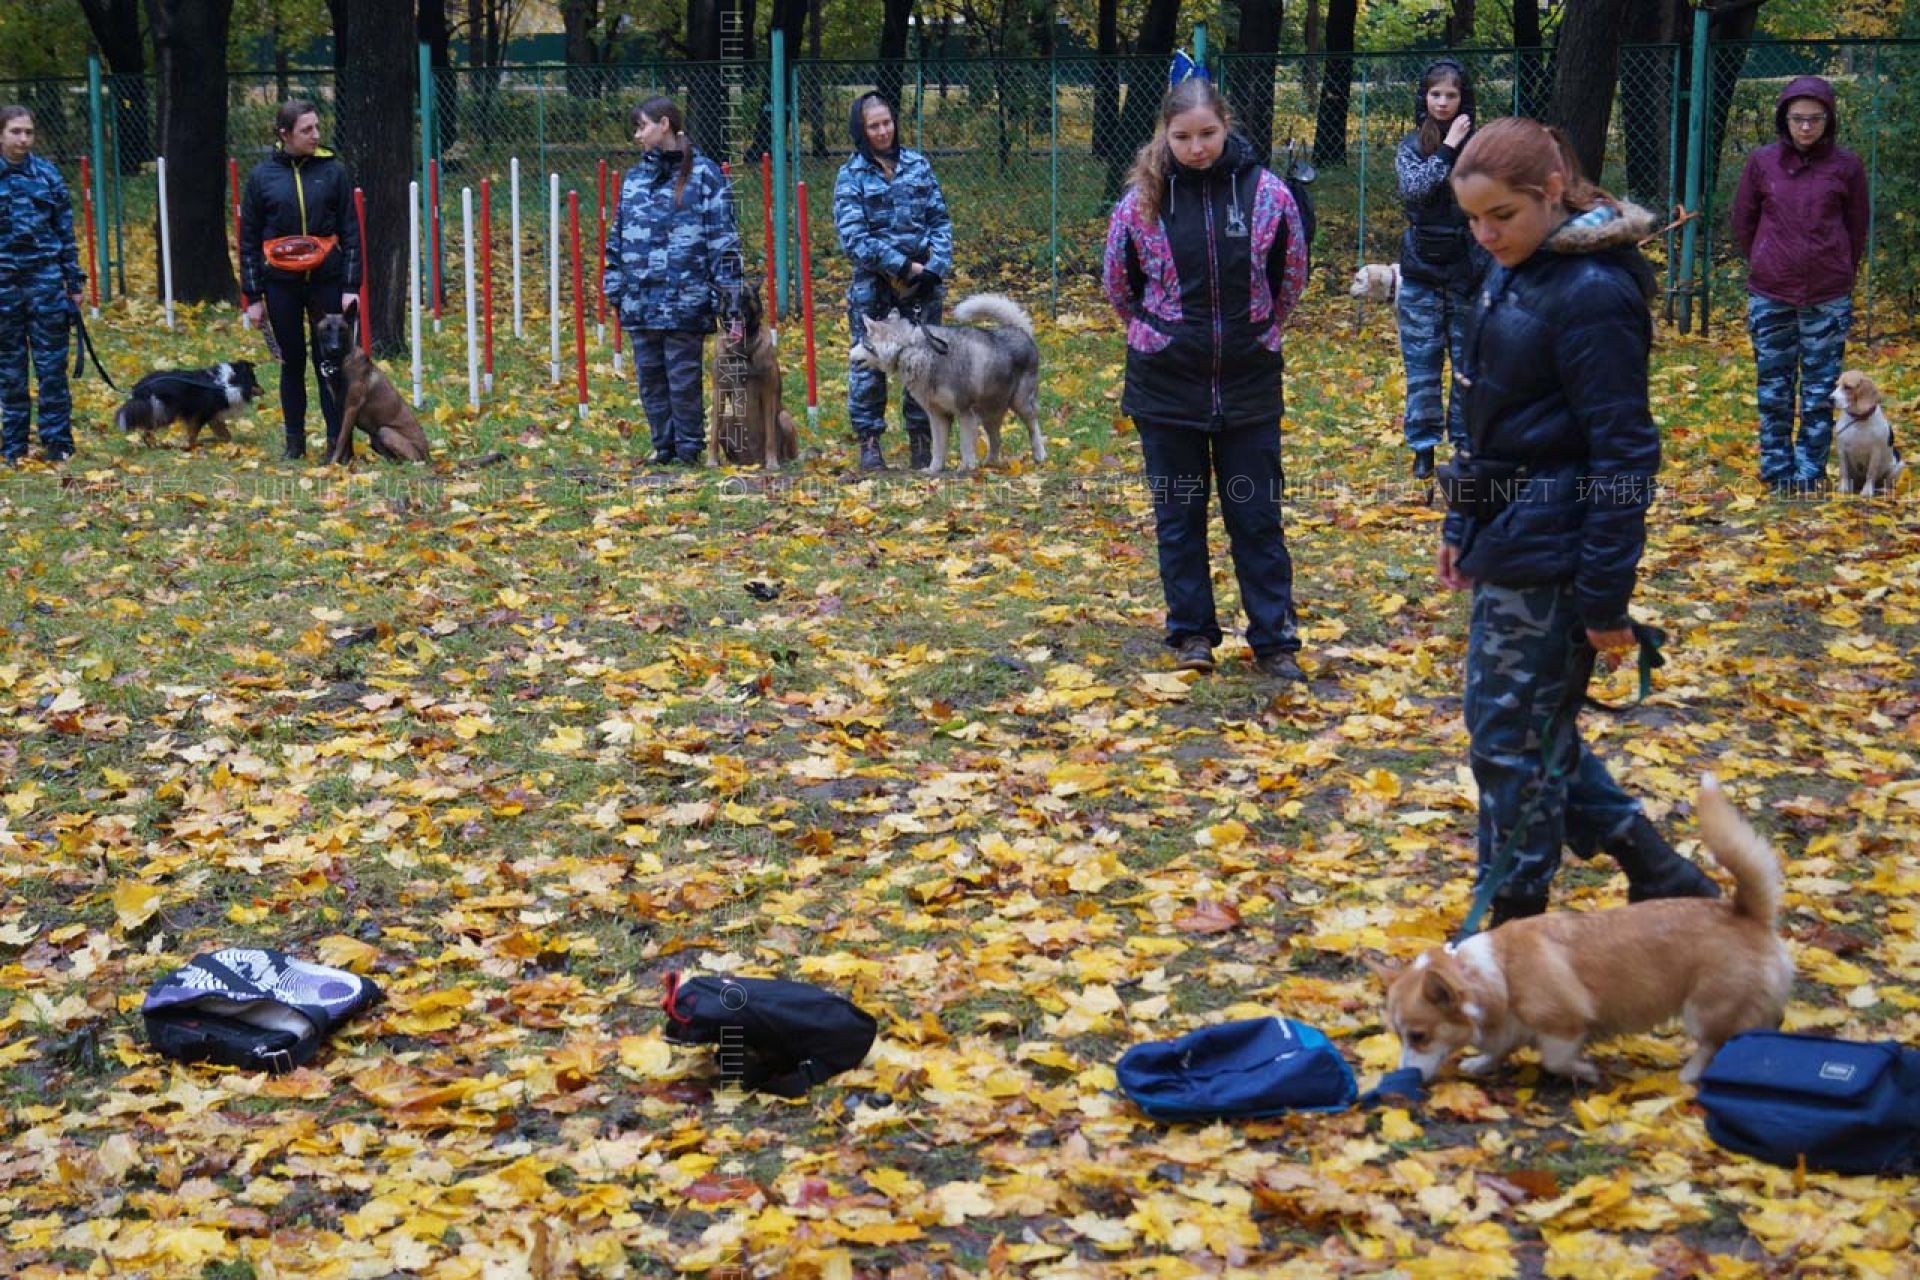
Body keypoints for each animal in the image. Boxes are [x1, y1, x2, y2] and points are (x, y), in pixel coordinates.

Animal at [848, 293, 1044, 477]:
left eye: (864, 342)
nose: (849, 354)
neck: (911, 347)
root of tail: (1019, 330)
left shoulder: (965, 413)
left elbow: (965, 445)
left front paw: (966, 467)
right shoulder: (937, 415)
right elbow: (938, 447)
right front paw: (933, 469)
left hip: (1020, 403)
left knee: (1033, 425)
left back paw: (1039, 455)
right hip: (988, 413)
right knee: (996, 438)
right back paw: (989, 463)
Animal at [1374, 775, 1789, 1090]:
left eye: (1419, 1036)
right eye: (1399, 1035)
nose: (1402, 1077)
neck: (1494, 976)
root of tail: (1746, 913)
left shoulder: (1564, 1026)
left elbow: (1555, 1060)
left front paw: (1586, 1072)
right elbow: (1500, 1047)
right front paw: (1482, 1063)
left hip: (1702, 1010)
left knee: (1711, 1043)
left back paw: (1687, 1075)